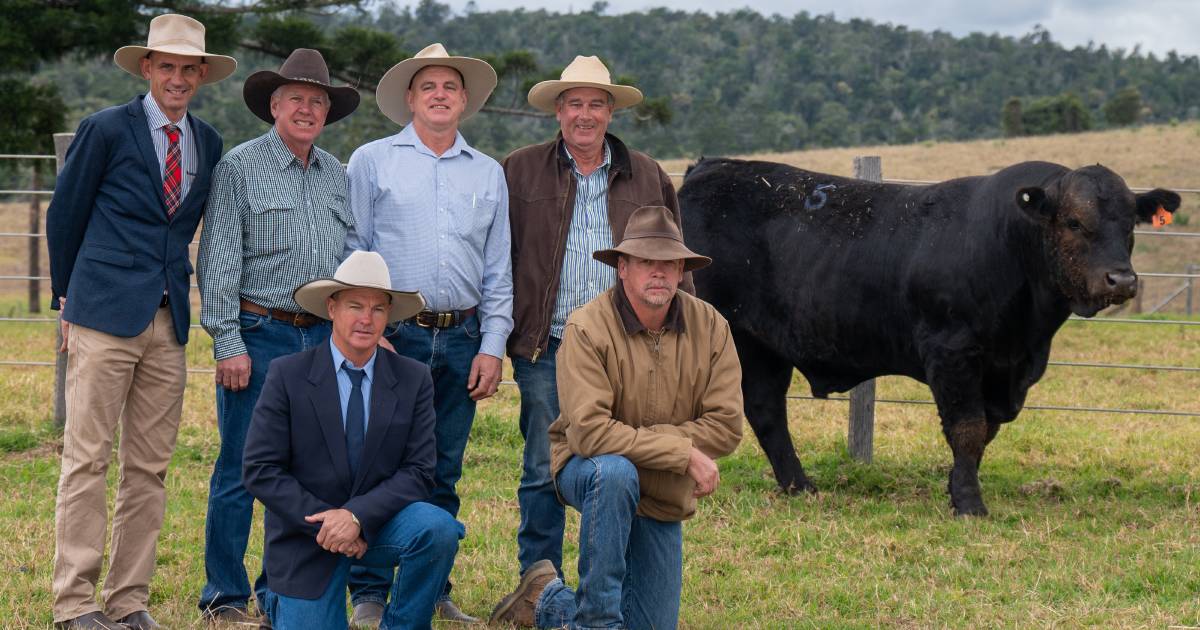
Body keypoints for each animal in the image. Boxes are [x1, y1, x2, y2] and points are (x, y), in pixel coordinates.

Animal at [681, 154, 1176, 513]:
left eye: (1130, 224)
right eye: (1073, 222)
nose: (1121, 280)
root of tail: (708, 167)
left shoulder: (1006, 369)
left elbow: (986, 430)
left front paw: (957, 487)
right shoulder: (951, 351)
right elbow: (968, 428)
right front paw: (970, 504)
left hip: (763, 346)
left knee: (766, 410)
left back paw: (800, 486)